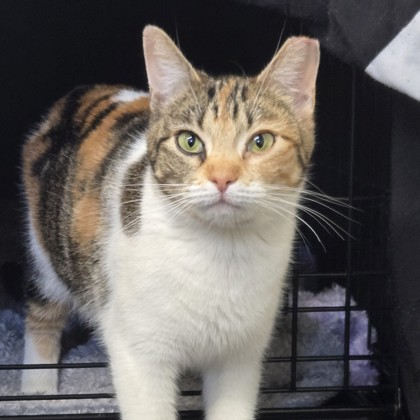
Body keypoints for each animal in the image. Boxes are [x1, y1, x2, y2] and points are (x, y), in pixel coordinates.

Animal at [20, 25, 319, 420]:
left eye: (261, 142)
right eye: (189, 141)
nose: (222, 177)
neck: (220, 251)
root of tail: (83, 92)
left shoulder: (241, 355)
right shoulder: (138, 350)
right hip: (44, 247)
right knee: (43, 311)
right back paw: (37, 390)